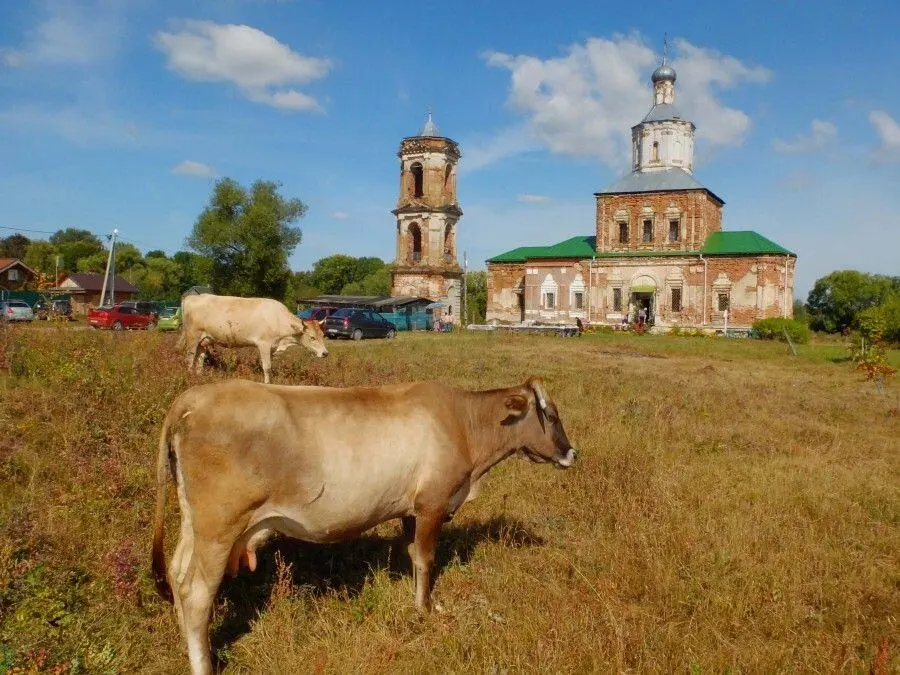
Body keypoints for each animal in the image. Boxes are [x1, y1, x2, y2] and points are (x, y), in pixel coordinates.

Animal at [152, 378, 580, 672]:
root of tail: (194, 397)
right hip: (219, 526)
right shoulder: (432, 504)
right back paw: (203, 663)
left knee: (176, 572)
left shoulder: (410, 510)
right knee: (196, 592)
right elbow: (426, 559)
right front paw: (426, 609)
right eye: (551, 414)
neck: (462, 425)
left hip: (194, 523)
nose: (572, 453)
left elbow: (413, 556)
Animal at [179, 294, 326, 382]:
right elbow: (267, 367)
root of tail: (192, 297)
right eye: (312, 337)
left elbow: (270, 368)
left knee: (200, 358)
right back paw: (189, 377)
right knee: (189, 358)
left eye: (322, 335)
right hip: (192, 336)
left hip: (204, 339)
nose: (325, 353)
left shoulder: (272, 347)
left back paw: (199, 376)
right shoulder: (264, 344)